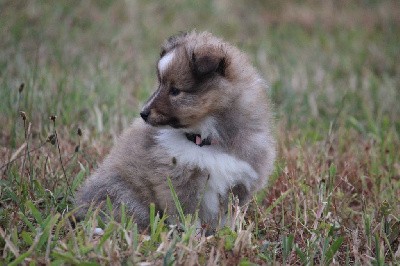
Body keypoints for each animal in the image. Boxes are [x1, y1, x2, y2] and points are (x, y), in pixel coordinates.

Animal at [74, 30, 276, 231]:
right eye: (160, 84)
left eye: (175, 90)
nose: (143, 113)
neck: (206, 140)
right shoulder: (177, 181)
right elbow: (186, 215)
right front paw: (191, 236)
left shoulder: (240, 183)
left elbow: (227, 217)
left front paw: (224, 234)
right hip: (123, 194)